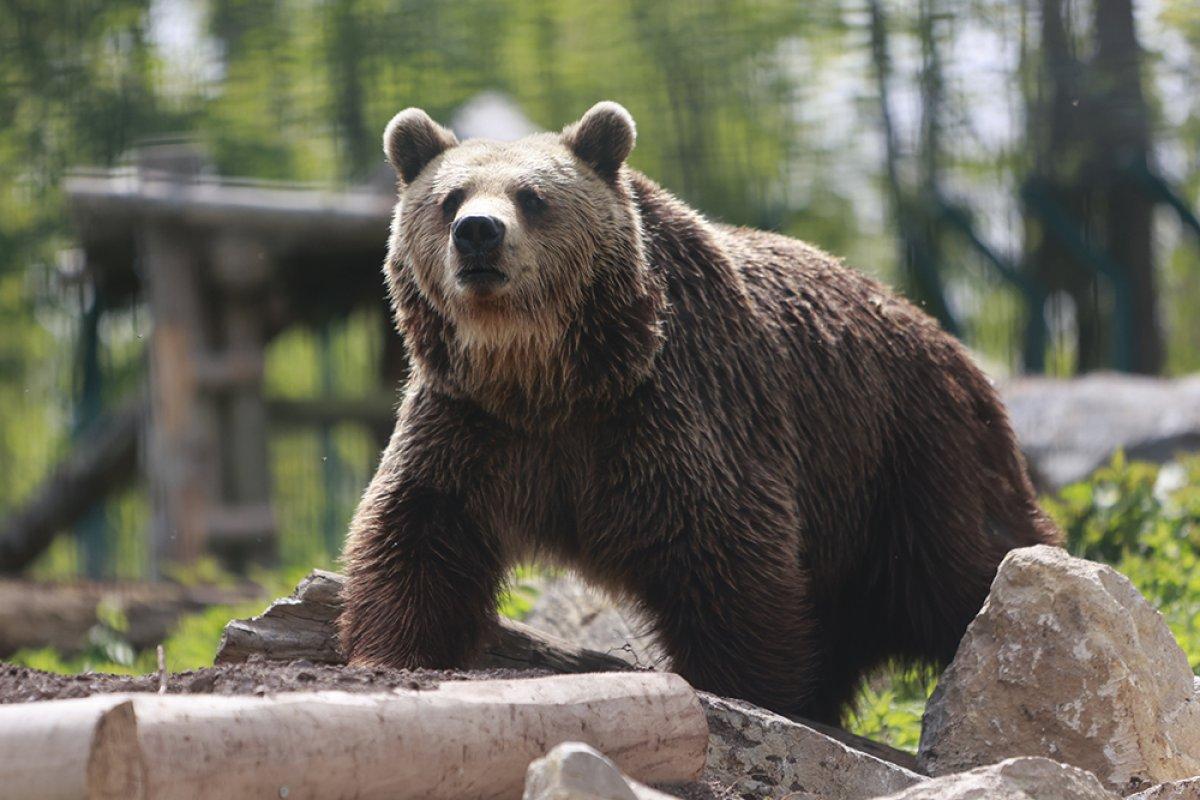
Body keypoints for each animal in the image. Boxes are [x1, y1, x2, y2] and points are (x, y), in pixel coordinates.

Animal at [340, 101, 1060, 724]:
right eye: (449, 199)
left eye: (533, 197)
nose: (478, 234)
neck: (550, 378)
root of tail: (949, 344)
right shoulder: (473, 425)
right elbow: (418, 532)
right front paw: (391, 650)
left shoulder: (676, 410)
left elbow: (724, 551)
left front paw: (753, 691)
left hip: (908, 458)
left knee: (968, 563)